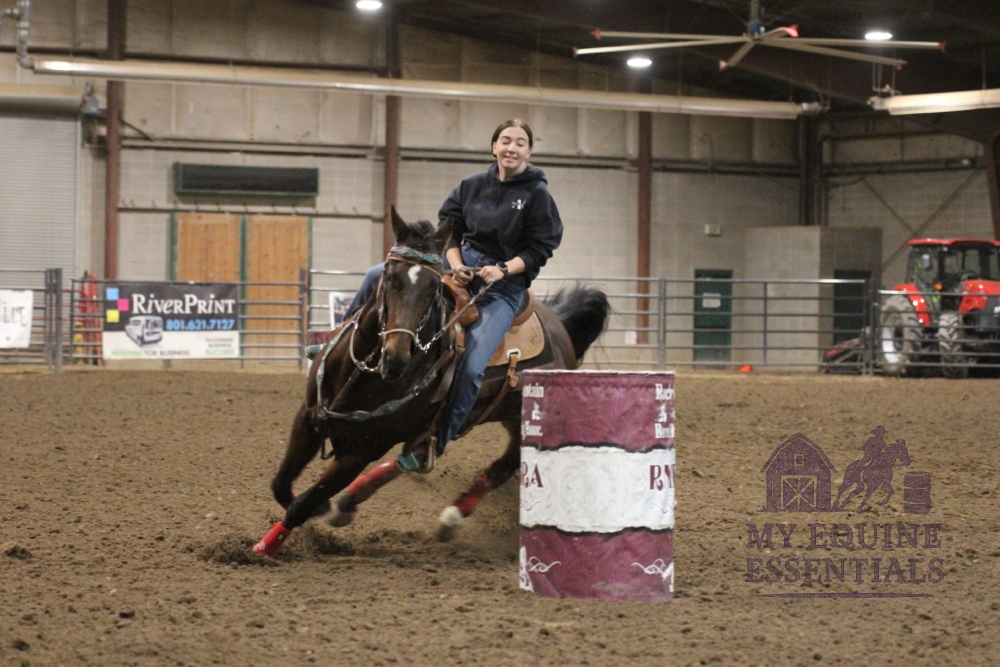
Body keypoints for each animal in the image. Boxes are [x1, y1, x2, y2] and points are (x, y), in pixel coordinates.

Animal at [253, 209, 609, 556]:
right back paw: (353, 499)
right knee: (414, 456)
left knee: (505, 463)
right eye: (390, 277)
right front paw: (323, 509)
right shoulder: (308, 419)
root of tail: (560, 328)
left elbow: (301, 504)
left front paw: (263, 549)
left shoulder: (361, 451)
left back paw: (451, 517)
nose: (397, 357)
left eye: (432, 287)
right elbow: (281, 485)